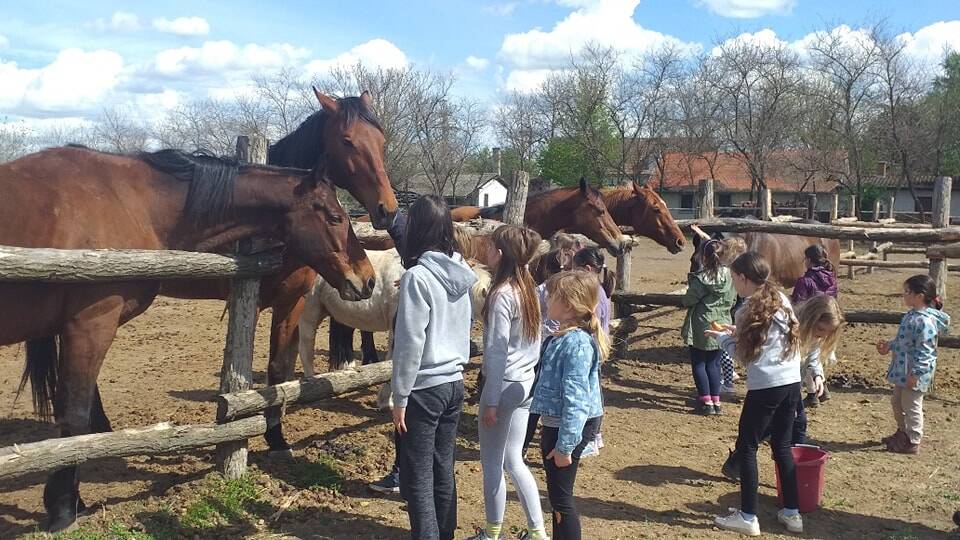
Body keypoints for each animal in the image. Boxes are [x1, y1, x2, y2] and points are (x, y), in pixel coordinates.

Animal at [3, 143, 376, 532]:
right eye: (334, 217)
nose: (367, 279)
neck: (130, 201)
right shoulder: (90, 323)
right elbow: (73, 415)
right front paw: (63, 510)